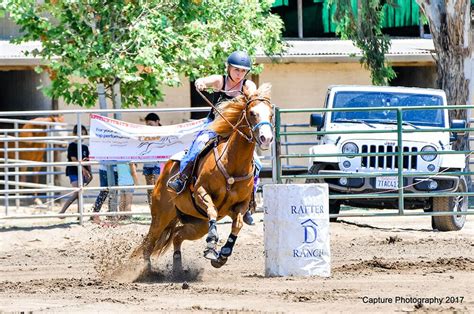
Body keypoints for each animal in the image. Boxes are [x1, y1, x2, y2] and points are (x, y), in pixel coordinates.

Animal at [115, 82, 274, 280]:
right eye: (252, 112)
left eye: (271, 114)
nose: (266, 138)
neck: (232, 163)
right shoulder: (201, 192)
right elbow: (213, 210)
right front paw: (211, 247)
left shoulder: (241, 205)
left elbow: (237, 224)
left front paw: (223, 255)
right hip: (161, 215)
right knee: (149, 243)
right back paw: (147, 272)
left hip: (198, 224)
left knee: (176, 235)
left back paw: (177, 269)